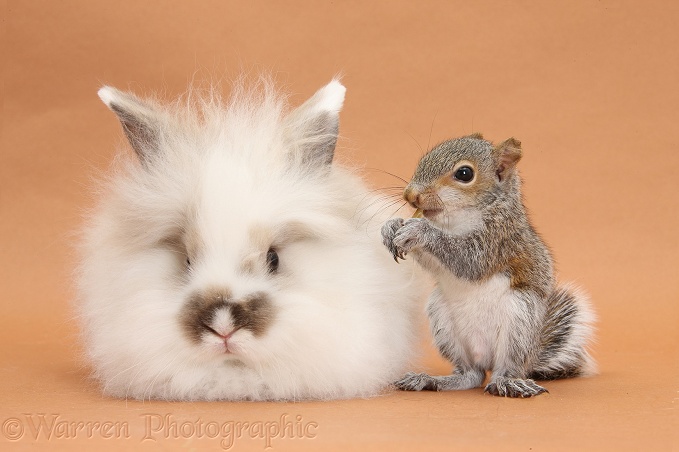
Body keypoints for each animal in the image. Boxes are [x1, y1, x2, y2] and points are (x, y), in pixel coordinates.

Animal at [386, 133, 596, 396]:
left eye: (464, 174)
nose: (410, 195)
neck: (454, 221)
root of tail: (486, 359)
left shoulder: (497, 240)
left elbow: (467, 260)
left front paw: (419, 230)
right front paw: (391, 226)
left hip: (519, 322)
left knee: (505, 369)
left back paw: (509, 383)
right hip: (443, 321)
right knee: (471, 375)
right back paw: (432, 380)